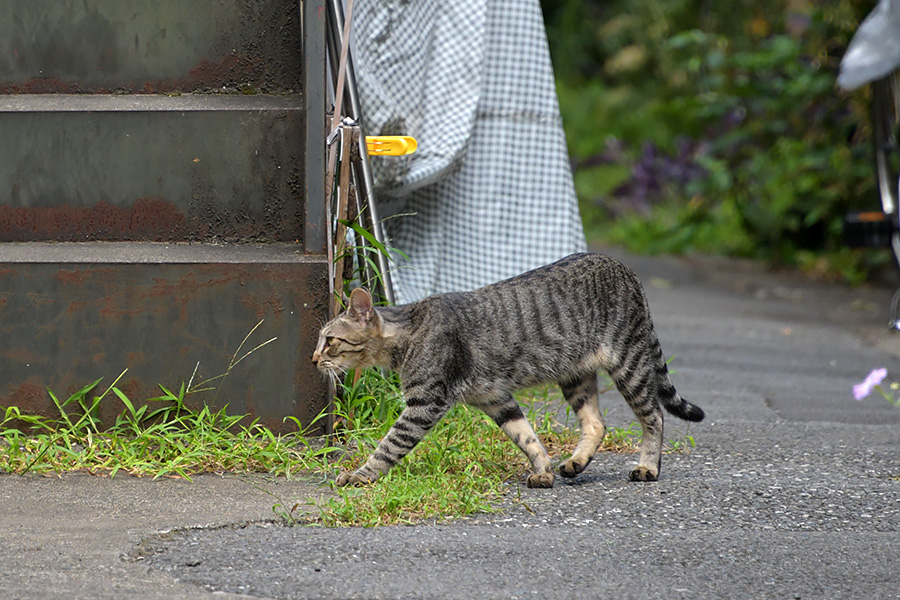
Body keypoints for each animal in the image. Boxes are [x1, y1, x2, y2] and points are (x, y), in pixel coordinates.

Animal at [312, 253, 708, 488]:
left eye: (330, 340)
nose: (314, 359)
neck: (408, 331)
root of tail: (619, 264)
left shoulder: (426, 402)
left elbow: (389, 445)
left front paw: (361, 475)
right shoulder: (495, 398)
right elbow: (526, 437)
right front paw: (543, 469)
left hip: (630, 362)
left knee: (654, 415)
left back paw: (648, 466)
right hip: (575, 375)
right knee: (596, 423)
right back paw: (575, 463)